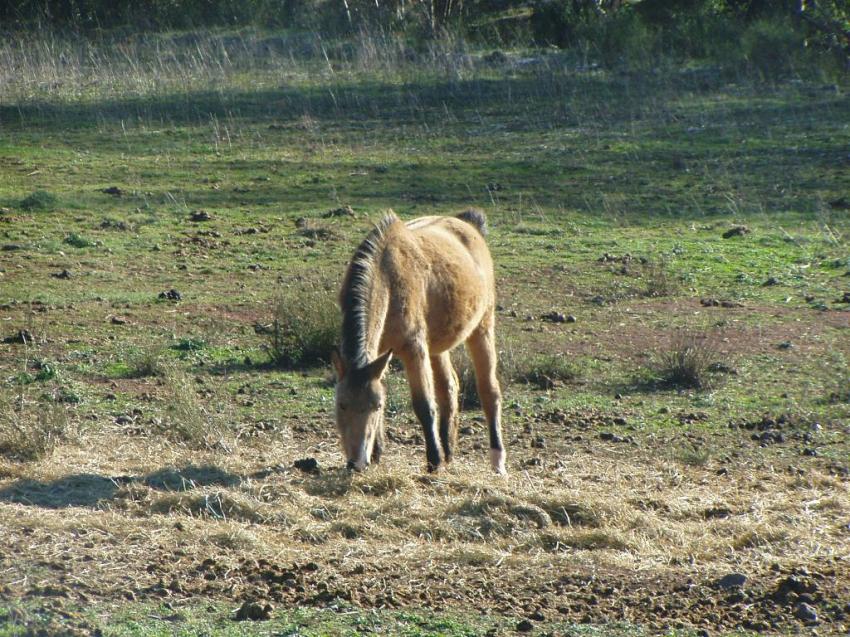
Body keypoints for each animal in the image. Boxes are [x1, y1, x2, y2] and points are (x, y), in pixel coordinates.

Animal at [331, 209, 506, 474]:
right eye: (341, 404)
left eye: (375, 407)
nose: (356, 462)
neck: (388, 276)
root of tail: (470, 225)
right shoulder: (383, 353)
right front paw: (377, 454)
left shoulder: (414, 349)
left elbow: (424, 405)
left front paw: (433, 461)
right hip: (437, 347)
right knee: (449, 387)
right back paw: (449, 451)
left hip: (482, 329)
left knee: (489, 392)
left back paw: (497, 461)